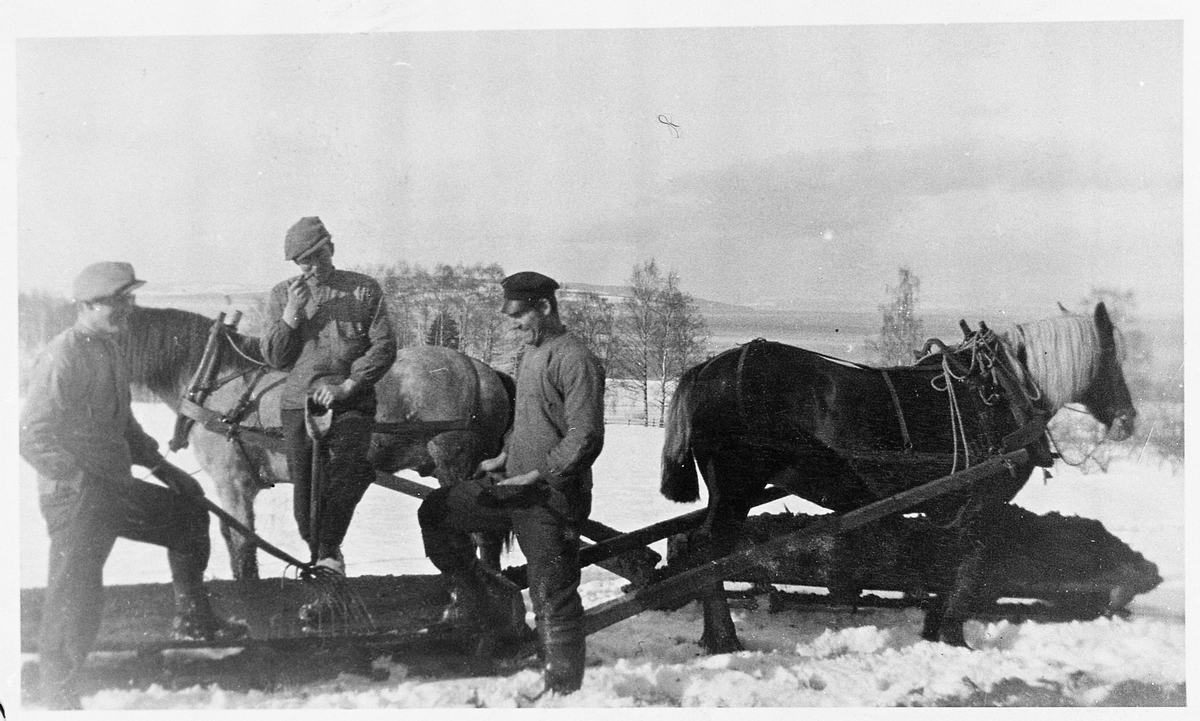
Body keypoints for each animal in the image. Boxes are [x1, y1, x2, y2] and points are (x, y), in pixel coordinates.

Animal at [662, 303, 1137, 652]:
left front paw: (935, 629)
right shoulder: (983, 503)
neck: (1002, 390)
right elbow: (969, 563)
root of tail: (707, 368)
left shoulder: (953, 507)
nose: (1129, 418)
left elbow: (946, 561)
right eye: (1113, 360)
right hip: (737, 486)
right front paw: (953, 635)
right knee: (708, 550)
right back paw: (723, 637)